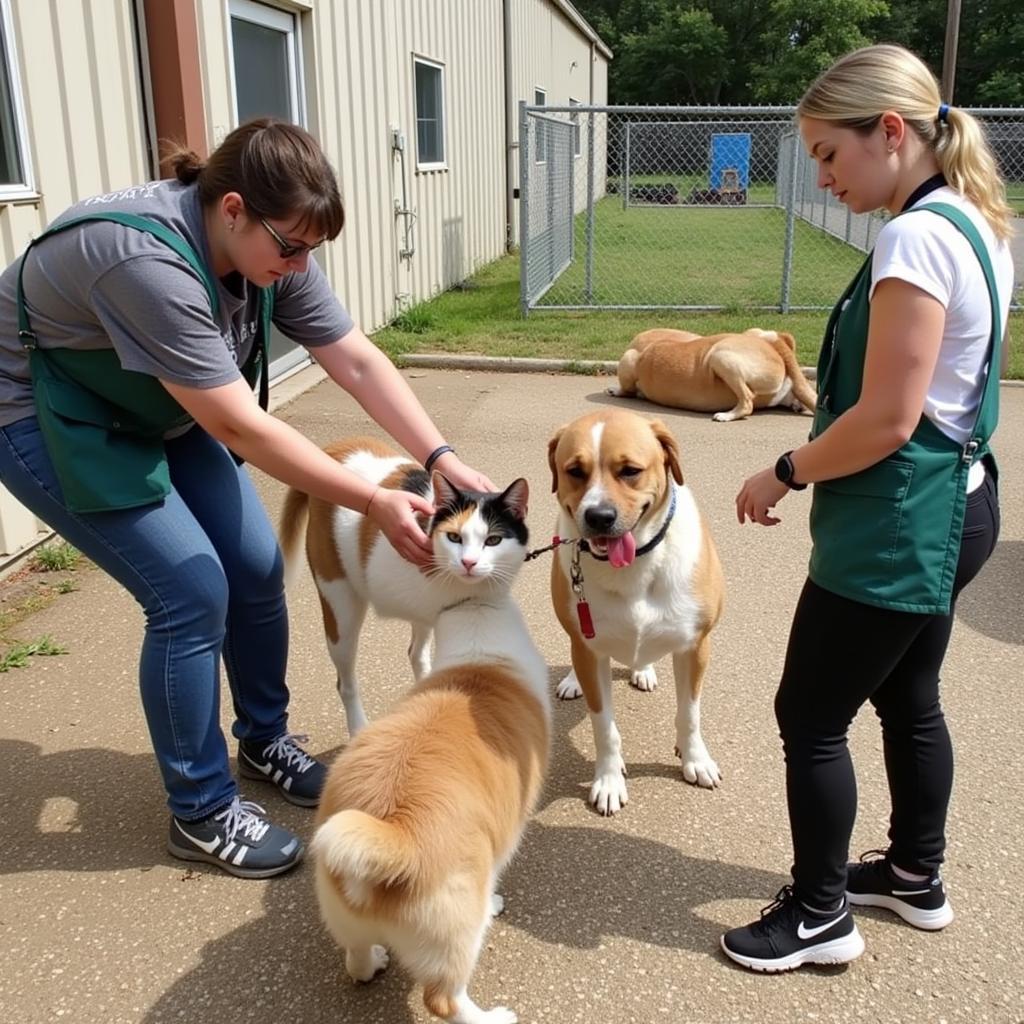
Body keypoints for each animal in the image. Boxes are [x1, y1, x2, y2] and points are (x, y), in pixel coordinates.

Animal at [548, 407, 724, 815]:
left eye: (630, 470)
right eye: (574, 470)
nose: (599, 516)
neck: (636, 563)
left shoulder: (696, 646)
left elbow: (690, 714)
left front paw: (695, 758)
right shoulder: (589, 648)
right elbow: (604, 728)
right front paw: (609, 780)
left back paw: (643, 669)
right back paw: (572, 681)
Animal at [606, 329, 815, 421]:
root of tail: (777, 349)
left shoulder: (629, 360)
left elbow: (627, 389)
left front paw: (617, 390)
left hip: (720, 356)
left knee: (747, 400)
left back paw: (727, 415)